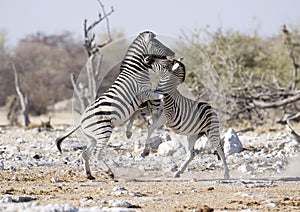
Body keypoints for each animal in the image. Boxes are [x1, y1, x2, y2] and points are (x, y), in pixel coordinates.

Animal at [55, 31, 175, 179]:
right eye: (157, 44)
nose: (173, 53)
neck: (136, 71)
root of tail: (81, 121)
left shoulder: (141, 99)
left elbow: (139, 111)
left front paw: (130, 131)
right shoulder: (143, 94)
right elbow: (160, 97)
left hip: (93, 138)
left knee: (86, 153)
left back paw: (89, 175)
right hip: (103, 132)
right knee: (96, 154)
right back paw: (109, 173)